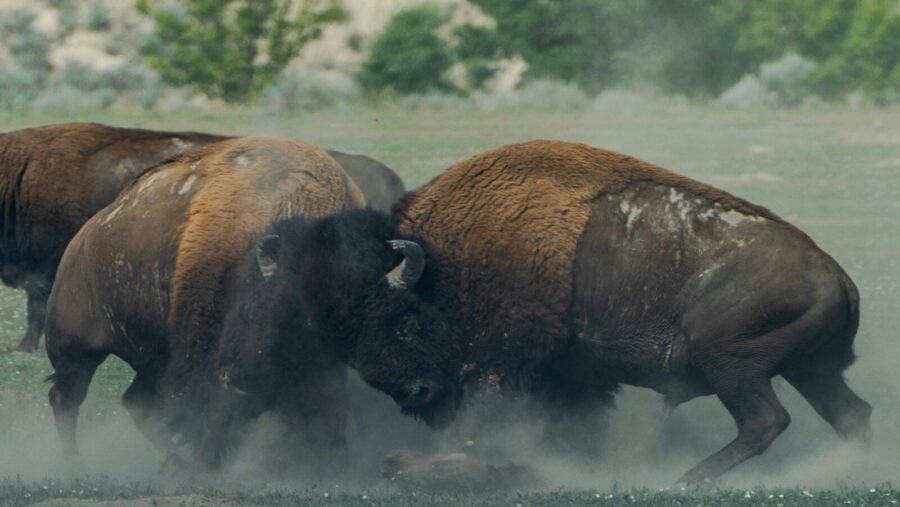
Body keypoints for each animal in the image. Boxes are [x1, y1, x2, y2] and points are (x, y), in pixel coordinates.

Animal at [348, 140, 868, 484]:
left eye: (402, 322)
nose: (414, 392)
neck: (447, 262)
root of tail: (834, 274)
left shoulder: (499, 362)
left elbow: (486, 413)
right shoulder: (574, 373)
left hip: (731, 364)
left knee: (765, 421)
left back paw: (682, 481)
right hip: (809, 369)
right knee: (850, 414)